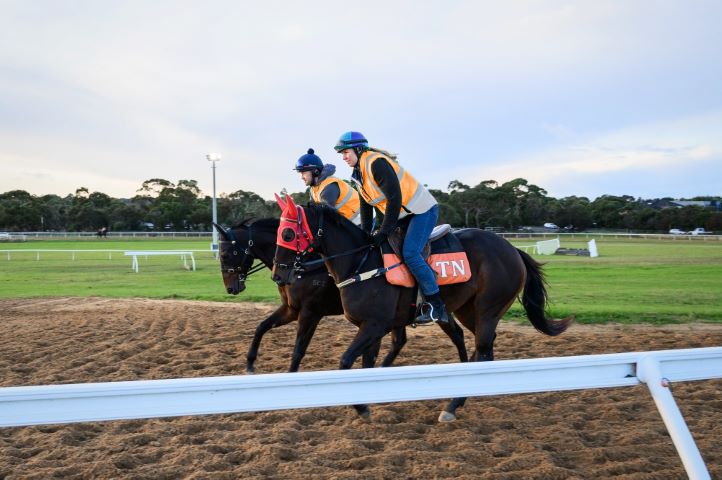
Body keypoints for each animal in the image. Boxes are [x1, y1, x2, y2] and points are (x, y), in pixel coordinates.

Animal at [272, 195, 573, 422]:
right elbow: (366, 365)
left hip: (487, 310)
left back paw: (452, 406)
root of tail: (513, 250)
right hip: (465, 311)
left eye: (287, 233)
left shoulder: (373, 326)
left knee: (483, 349)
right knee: (479, 348)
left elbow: (345, 361)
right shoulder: (370, 327)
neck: (362, 263)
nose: (278, 274)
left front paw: (361, 408)